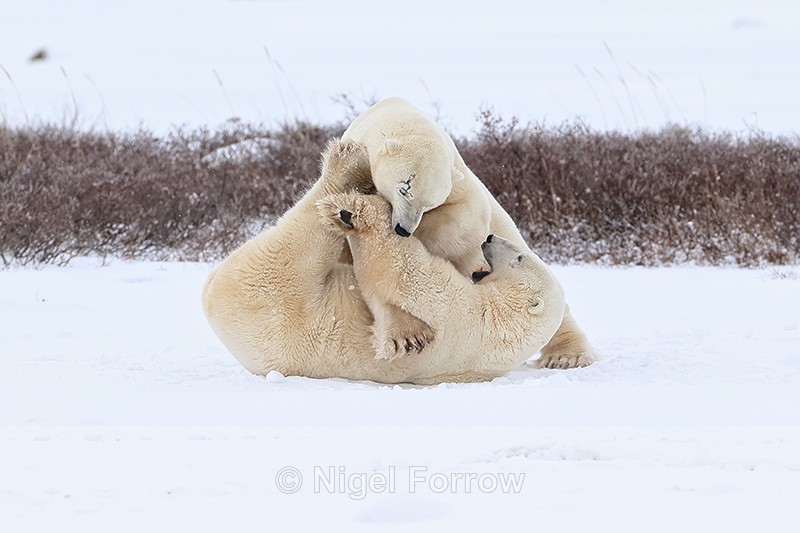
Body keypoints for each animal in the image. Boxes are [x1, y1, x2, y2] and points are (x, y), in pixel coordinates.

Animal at [202, 139, 566, 384]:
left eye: (519, 257)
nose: (489, 239)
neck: (503, 326)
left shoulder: (463, 311)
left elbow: (400, 270)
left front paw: (363, 213)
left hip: (274, 297)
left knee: (295, 244)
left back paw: (343, 168)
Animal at [342, 97, 596, 369]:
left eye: (428, 204)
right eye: (404, 188)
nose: (403, 229)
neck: (398, 115)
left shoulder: (460, 182)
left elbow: (466, 216)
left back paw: (566, 356)